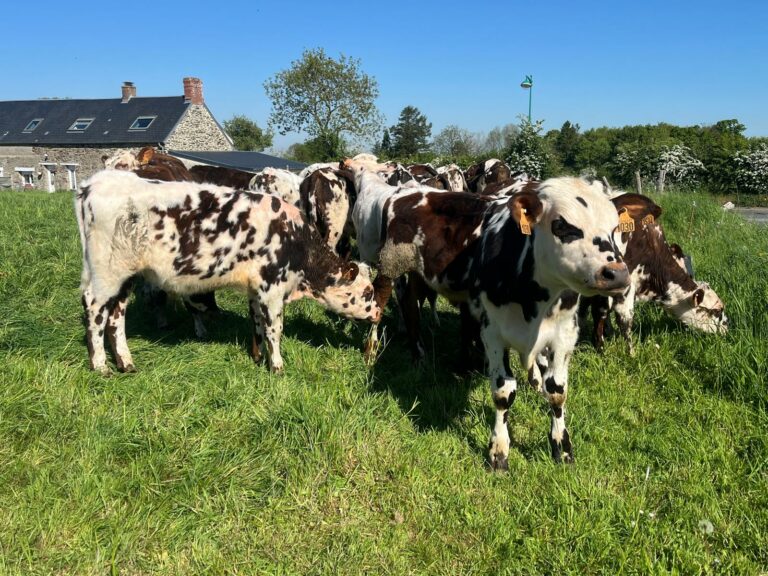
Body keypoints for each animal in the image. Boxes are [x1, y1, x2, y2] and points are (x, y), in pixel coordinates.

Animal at [75, 170, 382, 375]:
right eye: (367, 291)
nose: (379, 312)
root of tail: (93, 183)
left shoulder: (256, 289)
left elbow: (257, 324)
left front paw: (258, 358)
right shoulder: (271, 288)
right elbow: (274, 329)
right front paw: (277, 366)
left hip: (123, 279)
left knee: (116, 316)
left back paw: (125, 362)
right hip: (106, 275)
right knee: (95, 310)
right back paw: (100, 365)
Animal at [374, 177, 630, 467]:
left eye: (614, 228)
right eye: (563, 226)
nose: (617, 274)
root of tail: (409, 190)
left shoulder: (564, 333)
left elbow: (557, 391)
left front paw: (562, 448)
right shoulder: (493, 333)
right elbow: (503, 392)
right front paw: (499, 450)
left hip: (417, 274)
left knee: (410, 306)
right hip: (391, 265)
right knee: (387, 302)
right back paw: (386, 352)